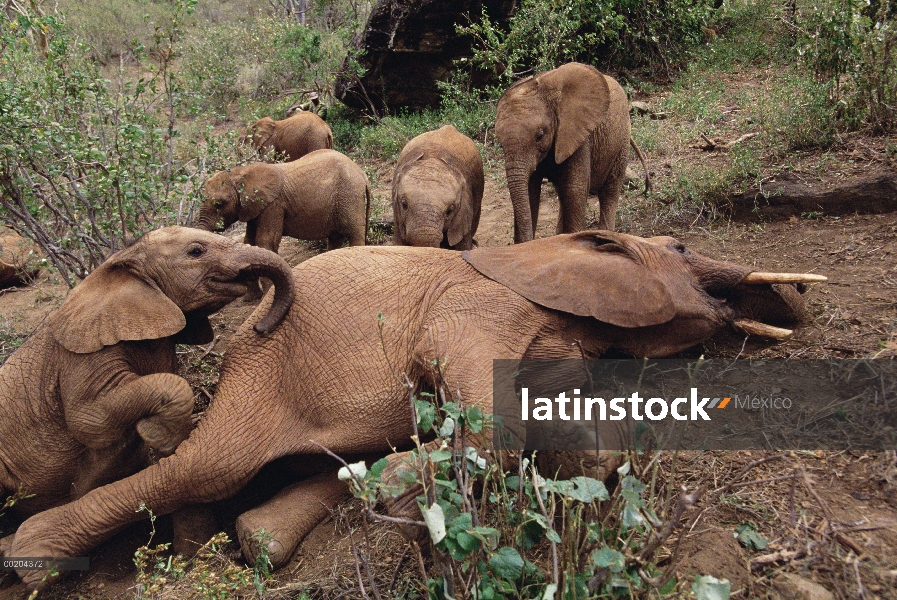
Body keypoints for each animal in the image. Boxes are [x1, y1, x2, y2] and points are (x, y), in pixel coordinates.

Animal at [3, 231, 824, 592]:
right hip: (262, 381)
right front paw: (405, 484)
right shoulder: (478, 305)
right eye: (680, 248)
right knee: (211, 466)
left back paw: (286, 525)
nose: (797, 301)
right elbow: (494, 420)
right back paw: (33, 555)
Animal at [496, 61, 652, 239]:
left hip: (621, 139)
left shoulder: (579, 137)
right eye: (500, 144)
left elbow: (574, 189)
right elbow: (530, 192)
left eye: (540, 136)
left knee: (610, 189)